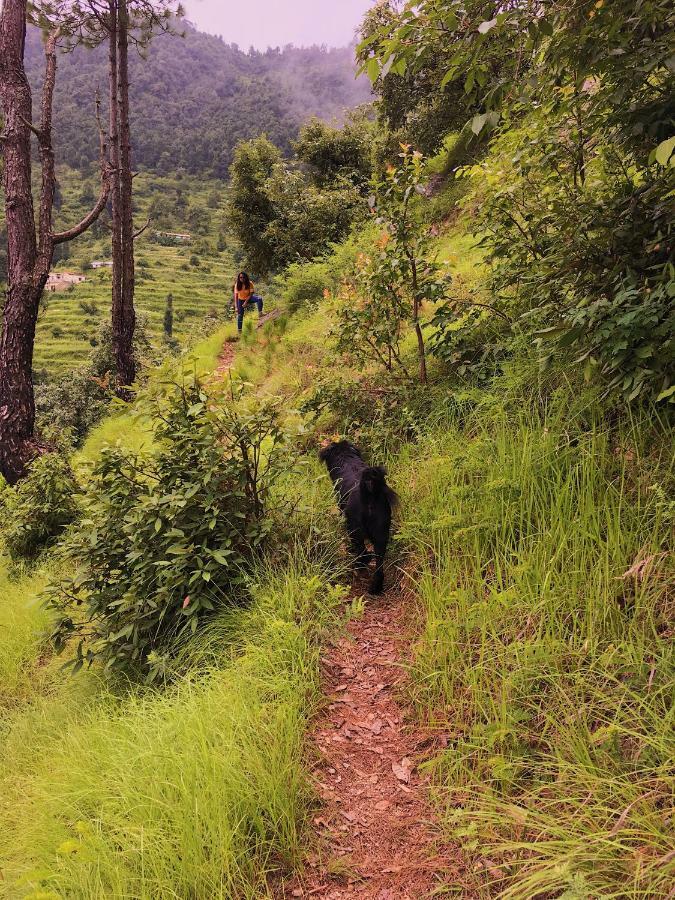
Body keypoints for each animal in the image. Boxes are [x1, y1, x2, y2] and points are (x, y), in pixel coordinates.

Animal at [320, 442, 398, 596]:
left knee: (363, 551)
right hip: (381, 533)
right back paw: (376, 588)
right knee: (379, 566)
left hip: (354, 528)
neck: (347, 460)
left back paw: (360, 564)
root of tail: (369, 493)